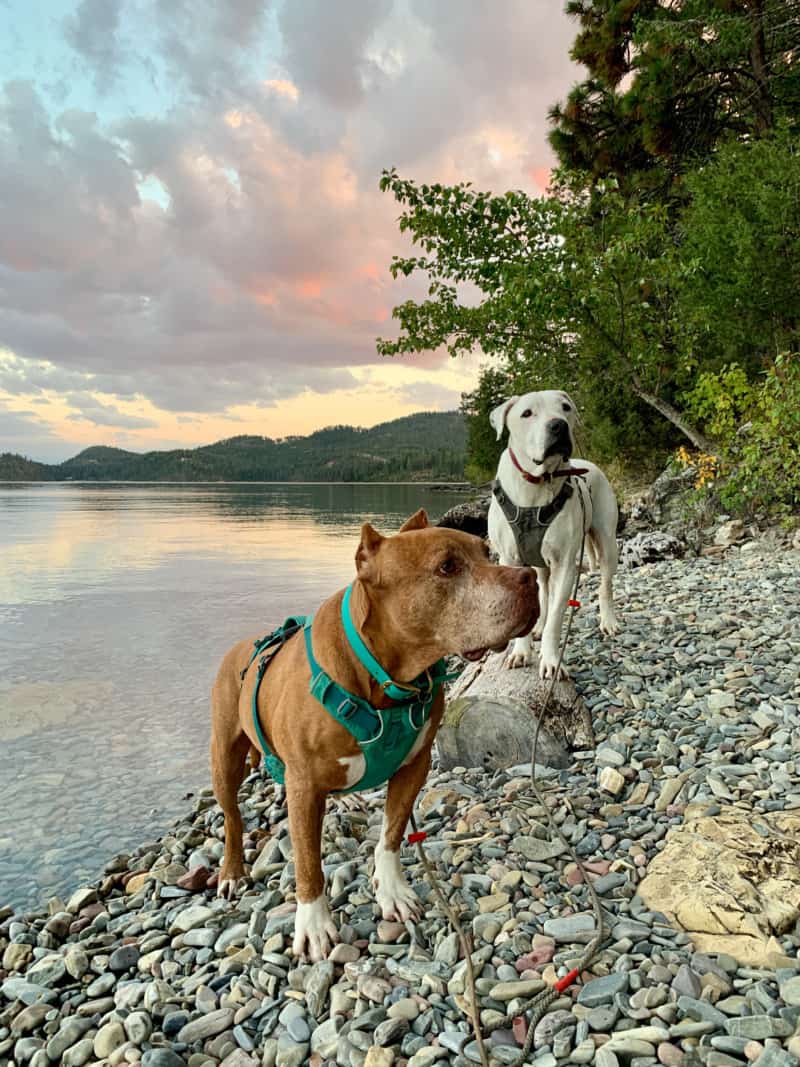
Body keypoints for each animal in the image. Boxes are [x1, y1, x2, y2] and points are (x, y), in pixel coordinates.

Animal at [211, 505, 539, 960]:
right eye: (447, 566)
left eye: (487, 553)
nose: (530, 576)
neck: (383, 678)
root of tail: (241, 646)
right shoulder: (303, 784)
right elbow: (308, 863)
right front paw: (313, 923)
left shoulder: (414, 765)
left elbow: (392, 833)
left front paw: (392, 891)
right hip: (224, 758)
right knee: (232, 817)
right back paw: (231, 870)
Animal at [486, 388, 622, 678]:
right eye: (527, 413)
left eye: (565, 408)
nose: (558, 425)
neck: (536, 484)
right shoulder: (511, 561)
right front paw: (521, 651)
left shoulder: (565, 565)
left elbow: (557, 618)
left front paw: (550, 660)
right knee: (543, 591)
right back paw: (537, 626)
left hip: (607, 543)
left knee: (605, 585)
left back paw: (608, 621)